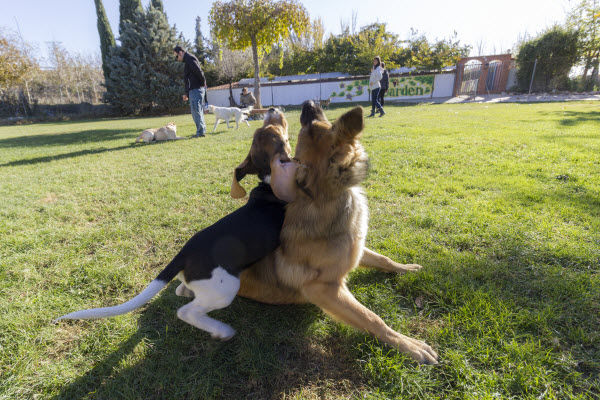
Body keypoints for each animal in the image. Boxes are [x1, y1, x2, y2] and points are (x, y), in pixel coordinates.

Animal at [52, 109, 292, 340]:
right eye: (275, 132)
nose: (272, 110)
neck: (268, 181)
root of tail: (182, 255)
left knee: (182, 293)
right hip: (225, 288)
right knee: (187, 312)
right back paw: (221, 331)